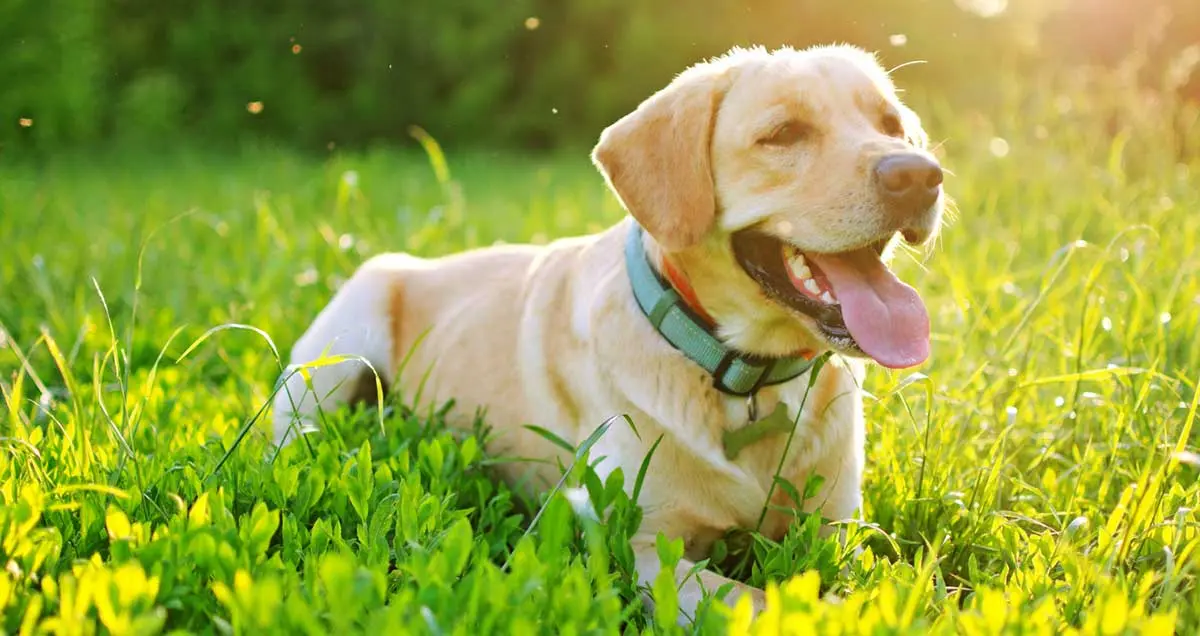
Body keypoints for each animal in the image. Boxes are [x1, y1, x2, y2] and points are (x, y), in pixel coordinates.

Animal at [272, 43, 945, 619]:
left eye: (891, 123)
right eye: (784, 134)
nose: (921, 174)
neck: (744, 380)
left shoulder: (837, 529)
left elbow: (874, 585)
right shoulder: (639, 543)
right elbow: (759, 600)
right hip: (337, 349)